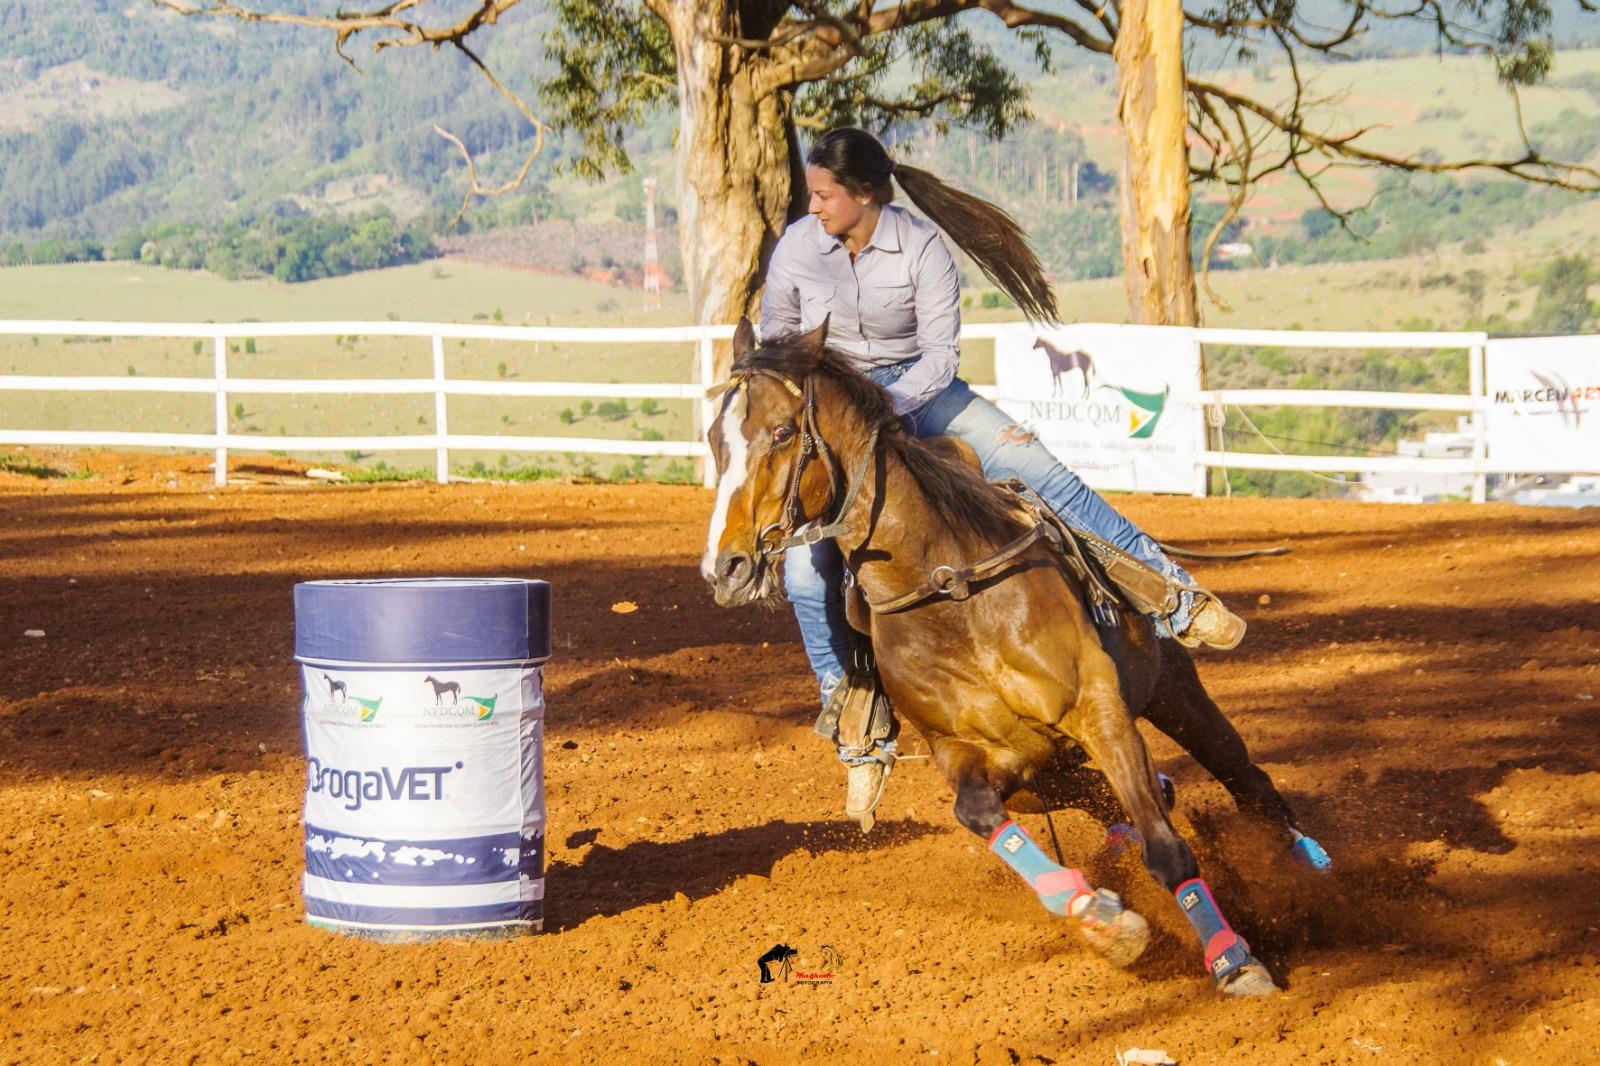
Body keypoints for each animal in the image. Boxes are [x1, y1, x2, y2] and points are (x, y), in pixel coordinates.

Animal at [701, 317, 1330, 997]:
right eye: (713, 439)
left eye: (782, 432)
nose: (725, 567)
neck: (948, 589)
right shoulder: (966, 751)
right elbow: (977, 813)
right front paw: (1100, 918)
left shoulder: (1100, 711)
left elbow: (1166, 848)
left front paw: (1234, 960)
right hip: (1045, 772)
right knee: (1110, 797)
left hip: (1174, 692)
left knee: (1246, 779)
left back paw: (1305, 862)